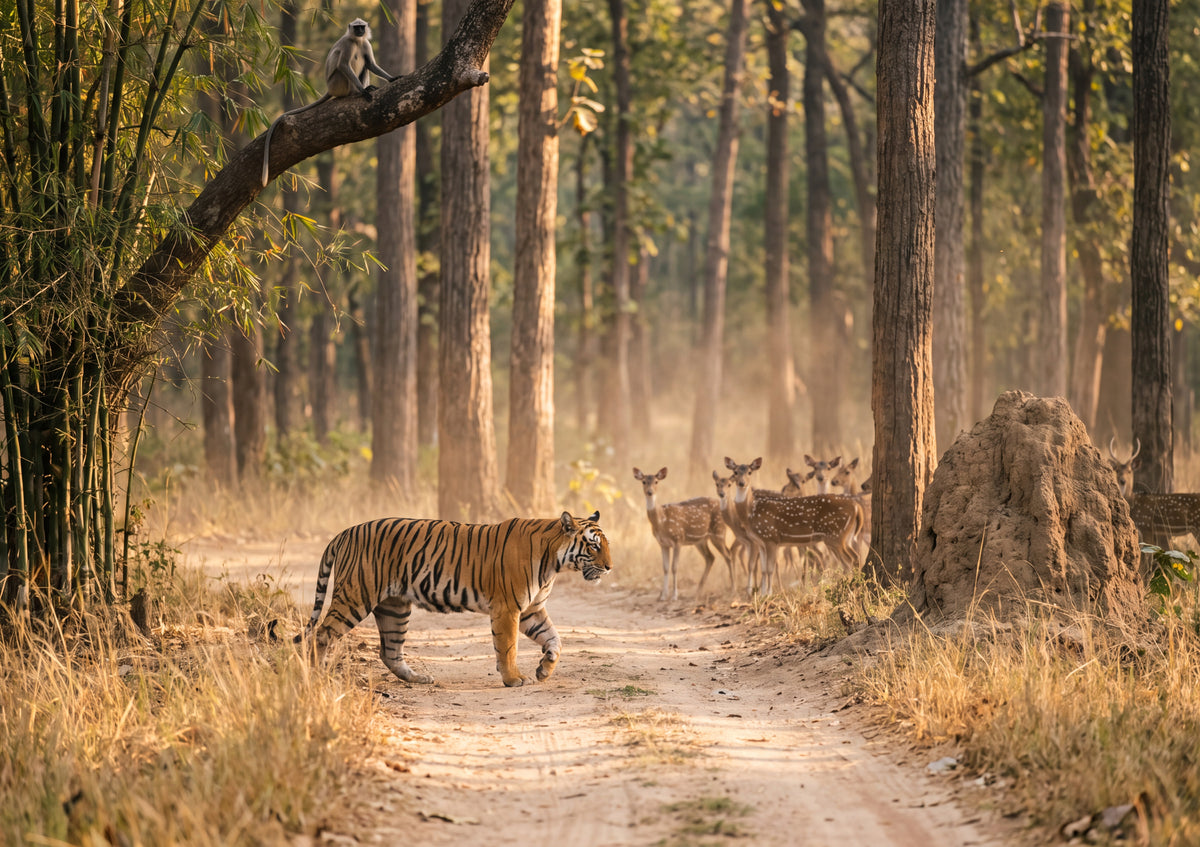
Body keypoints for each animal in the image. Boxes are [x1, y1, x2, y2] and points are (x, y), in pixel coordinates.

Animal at [296, 510, 612, 687]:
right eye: (594, 546)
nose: (610, 567)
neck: (554, 564)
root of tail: (344, 532)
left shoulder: (531, 610)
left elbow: (555, 639)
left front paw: (545, 669)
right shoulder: (508, 608)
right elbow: (508, 647)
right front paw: (513, 678)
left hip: (395, 607)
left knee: (389, 652)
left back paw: (419, 679)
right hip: (355, 596)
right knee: (321, 635)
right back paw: (315, 676)